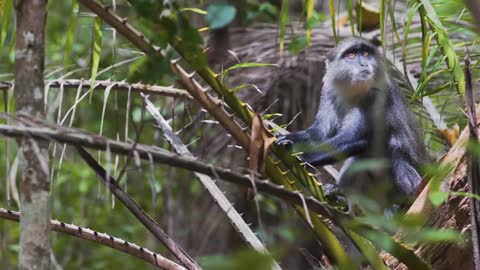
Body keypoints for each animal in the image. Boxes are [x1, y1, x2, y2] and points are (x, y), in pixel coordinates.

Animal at [276, 36, 430, 213]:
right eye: (351, 56)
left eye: (365, 53)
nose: (364, 64)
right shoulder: (329, 92)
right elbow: (319, 133)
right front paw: (287, 138)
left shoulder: (374, 97)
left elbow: (355, 139)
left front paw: (300, 156)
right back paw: (339, 194)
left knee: (394, 155)